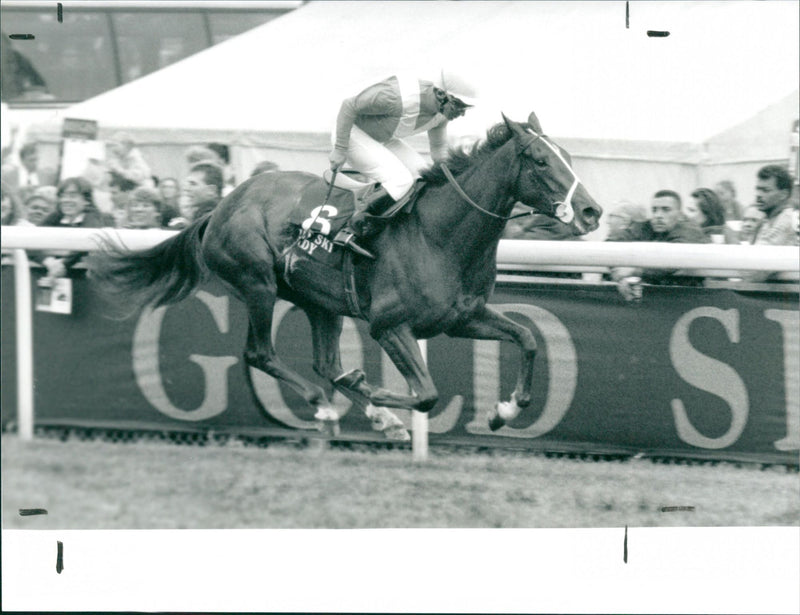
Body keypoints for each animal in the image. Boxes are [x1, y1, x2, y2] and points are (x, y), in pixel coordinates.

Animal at [89, 113, 600, 440]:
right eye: (540, 160)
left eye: (569, 156)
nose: (592, 211)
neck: (439, 234)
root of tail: (221, 206)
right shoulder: (389, 325)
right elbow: (426, 394)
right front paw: (376, 392)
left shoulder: (463, 318)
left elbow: (528, 338)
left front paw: (503, 411)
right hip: (257, 283)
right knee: (262, 354)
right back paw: (328, 406)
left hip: (319, 302)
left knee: (326, 363)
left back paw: (370, 412)